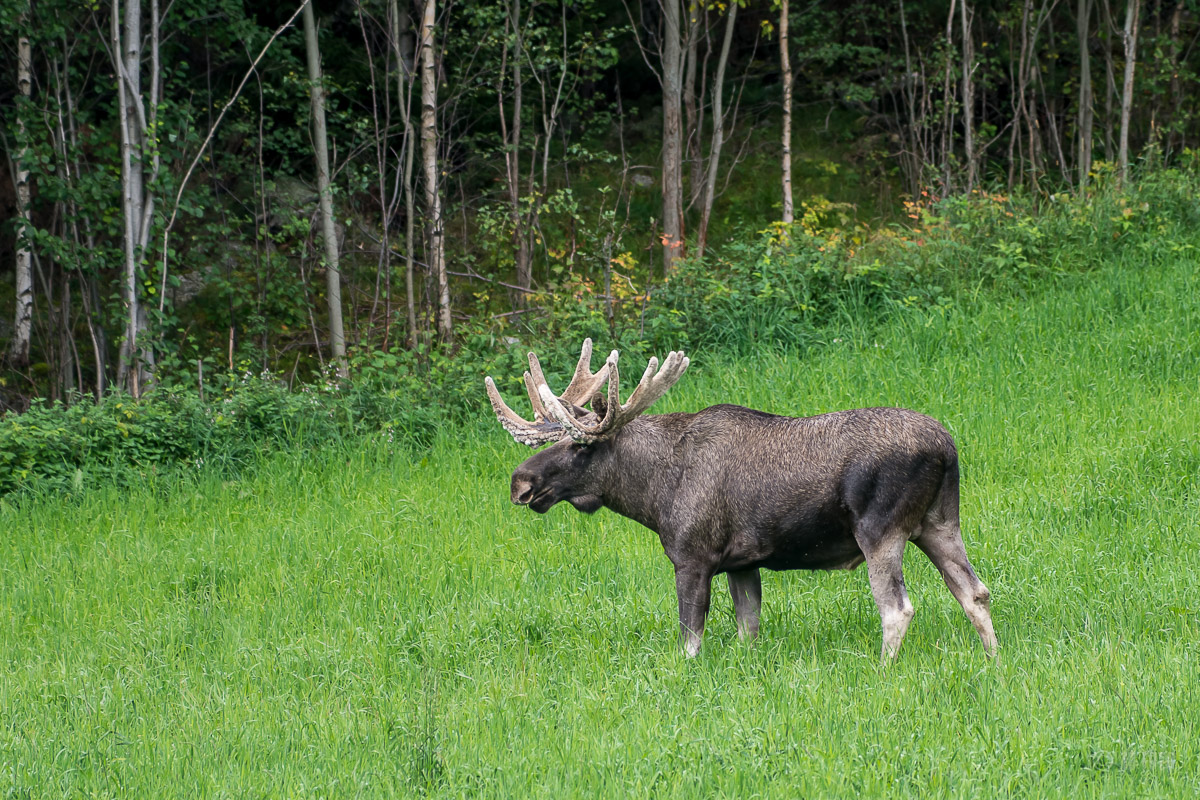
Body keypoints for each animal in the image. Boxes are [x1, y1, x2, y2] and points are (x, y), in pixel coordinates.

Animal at [482, 340, 998, 662]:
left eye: (580, 446)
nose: (520, 483)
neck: (652, 494)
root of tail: (947, 447)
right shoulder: (742, 563)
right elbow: (748, 630)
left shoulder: (692, 557)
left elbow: (690, 641)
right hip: (939, 523)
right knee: (975, 591)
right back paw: (994, 661)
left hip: (880, 530)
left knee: (897, 608)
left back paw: (883, 670)